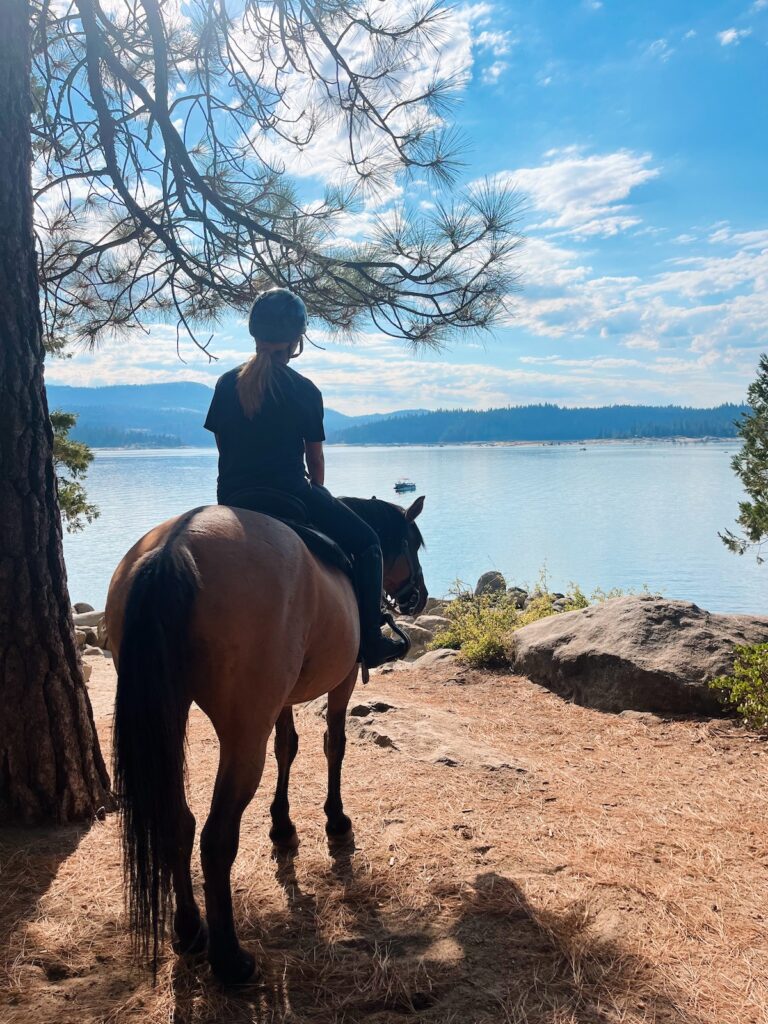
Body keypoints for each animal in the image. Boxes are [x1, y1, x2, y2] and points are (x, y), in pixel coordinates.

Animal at [103, 495, 428, 983]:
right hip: (243, 733)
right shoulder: (344, 679)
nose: (420, 596)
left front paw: (282, 825)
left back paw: (189, 931)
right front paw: (335, 820)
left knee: (178, 824)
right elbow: (334, 744)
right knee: (216, 840)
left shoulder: (282, 698)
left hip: (170, 715)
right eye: (412, 543)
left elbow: (287, 747)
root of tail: (174, 545)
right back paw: (230, 959)